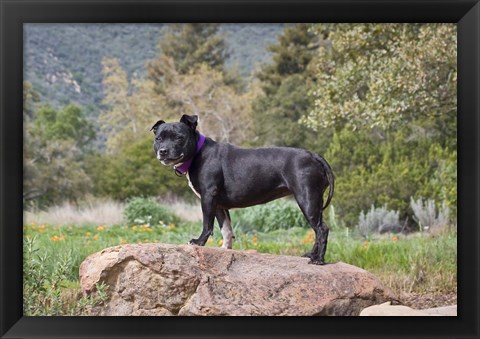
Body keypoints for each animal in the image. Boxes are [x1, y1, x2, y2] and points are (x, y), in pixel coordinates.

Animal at [151, 114, 334, 266]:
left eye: (179, 138)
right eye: (159, 138)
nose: (163, 151)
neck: (197, 153)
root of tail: (314, 155)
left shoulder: (208, 198)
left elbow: (207, 224)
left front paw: (199, 242)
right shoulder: (219, 205)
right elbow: (226, 228)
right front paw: (226, 249)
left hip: (307, 199)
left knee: (321, 229)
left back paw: (318, 260)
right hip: (314, 201)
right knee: (318, 229)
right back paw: (311, 255)